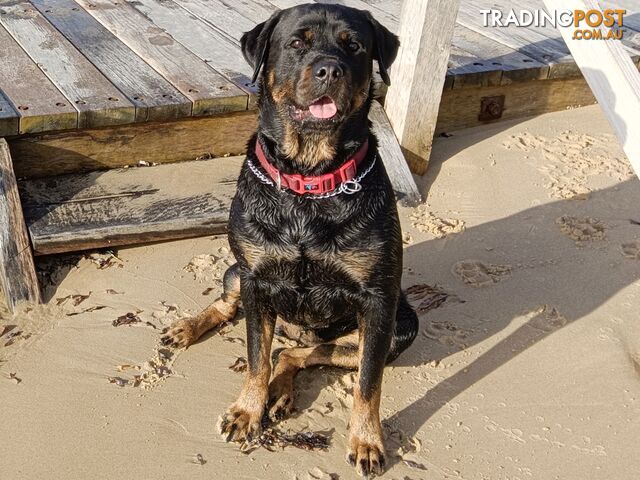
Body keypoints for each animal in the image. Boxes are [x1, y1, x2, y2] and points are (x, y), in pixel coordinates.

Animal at [162, 3, 418, 476]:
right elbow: (255, 357)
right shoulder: (256, 279)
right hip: (236, 269)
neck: (309, 181)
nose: (329, 69)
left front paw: (367, 440)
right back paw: (188, 328)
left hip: (402, 326)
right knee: (230, 305)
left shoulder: (379, 300)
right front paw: (246, 410)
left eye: (354, 46)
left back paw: (283, 390)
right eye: (298, 43)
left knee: (300, 354)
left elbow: (368, 382)